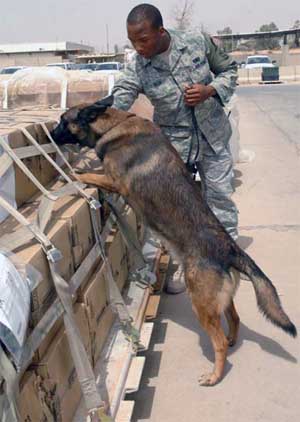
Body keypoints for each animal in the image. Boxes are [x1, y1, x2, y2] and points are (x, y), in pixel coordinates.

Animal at [50, 95, 296, 386]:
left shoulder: (114, 181)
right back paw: (233, 341)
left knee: (218, 342)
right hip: (218, 301)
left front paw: (70, 172)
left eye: (63, 120)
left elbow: (85, 175)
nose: (50, 133)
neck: (113, 126)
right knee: (234, 319)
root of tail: (229, 250)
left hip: (201, 304)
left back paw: (214, 375)